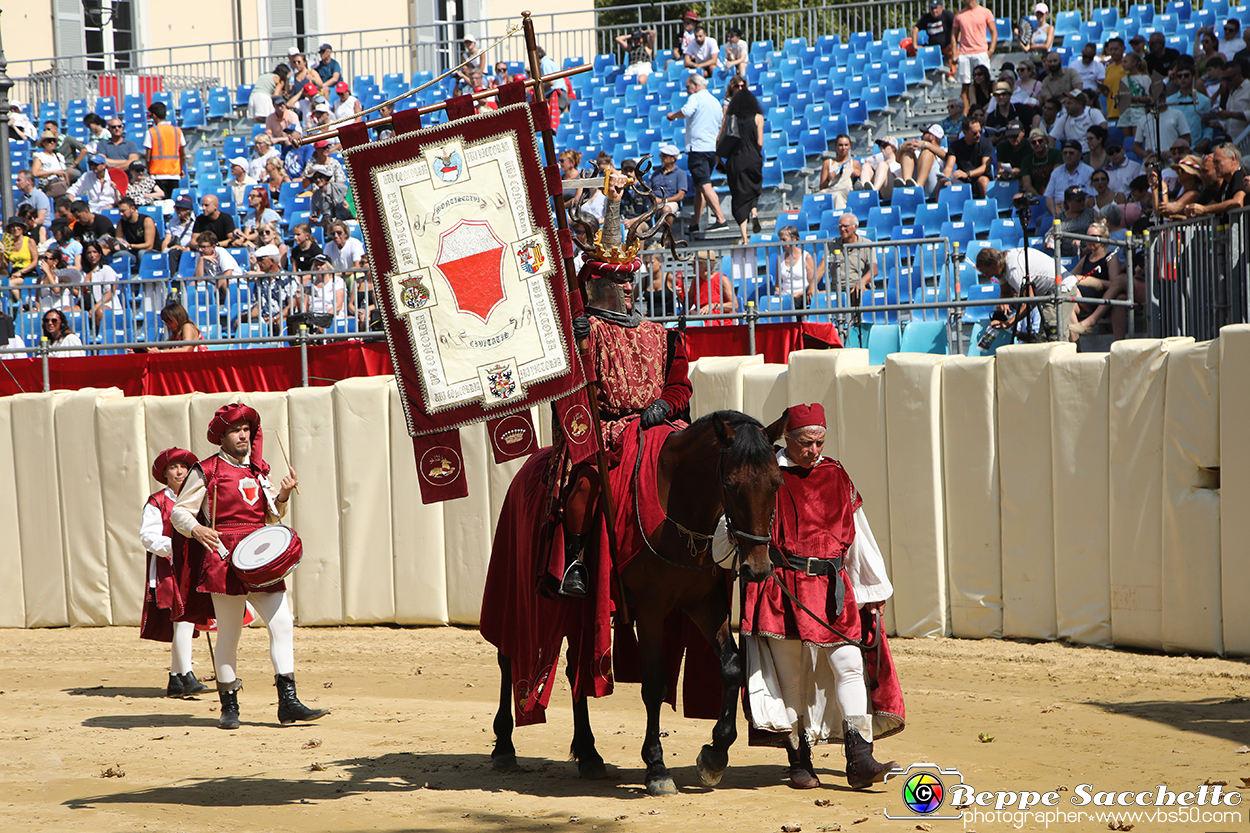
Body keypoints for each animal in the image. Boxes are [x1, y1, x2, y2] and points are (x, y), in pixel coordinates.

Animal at [487, 407, 780, 790]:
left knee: (574, 668)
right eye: (730, 484)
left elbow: (732, 668)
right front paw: (656, 766)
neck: (680, 506)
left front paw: (715, 756)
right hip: (519, 595)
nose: (757, 568)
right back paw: (504, 746)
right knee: (508, 657)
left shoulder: (705, 604)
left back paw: (589, 754)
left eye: (776, 483)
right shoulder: (651, 611)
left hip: (579, 612)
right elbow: (654, 684)